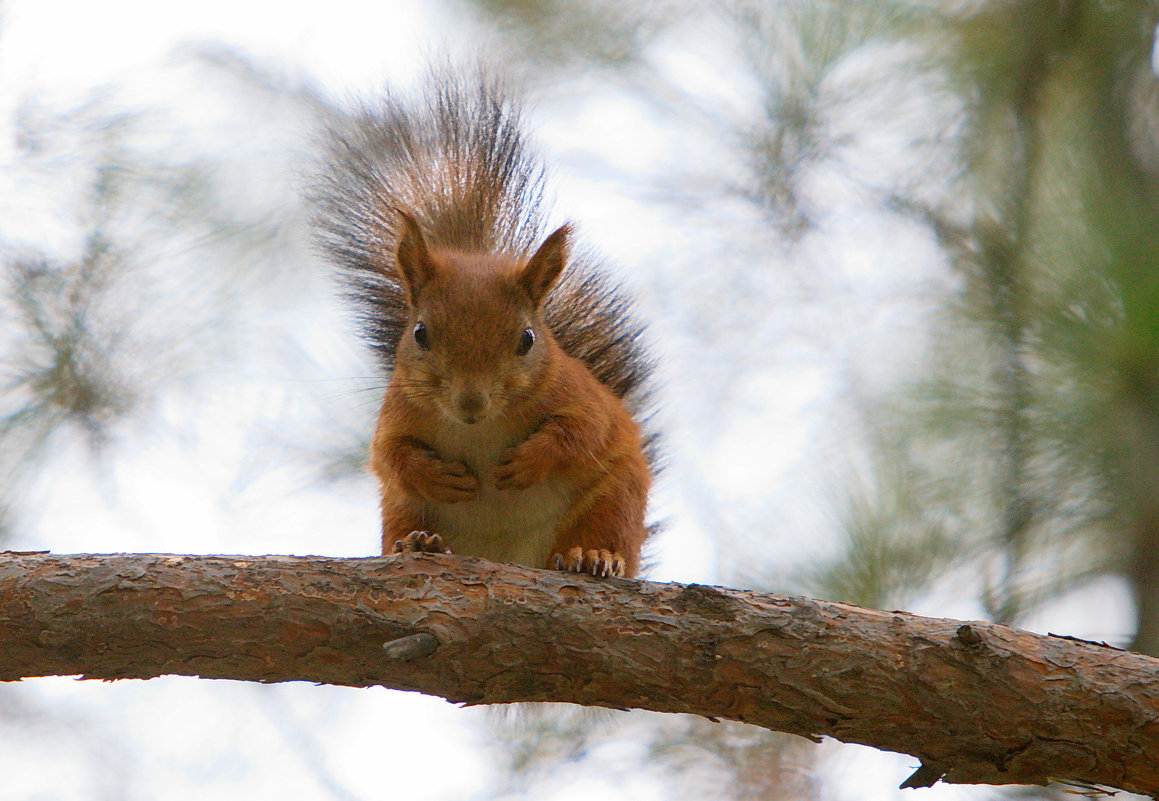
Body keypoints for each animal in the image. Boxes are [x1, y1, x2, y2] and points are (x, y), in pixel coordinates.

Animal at [317, 73, 658, 577]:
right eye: (420, 334)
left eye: (527, 339)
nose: (471, 403)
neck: (480, 429)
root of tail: (506, 556)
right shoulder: (396, 415)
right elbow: (392, 456)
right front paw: (437, 475)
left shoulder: (582, 398)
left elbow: (578, 433)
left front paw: (529, 461)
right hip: (399, 507)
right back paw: (418, 543)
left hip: (616, 494)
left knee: (604, 527)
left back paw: (592, 557)